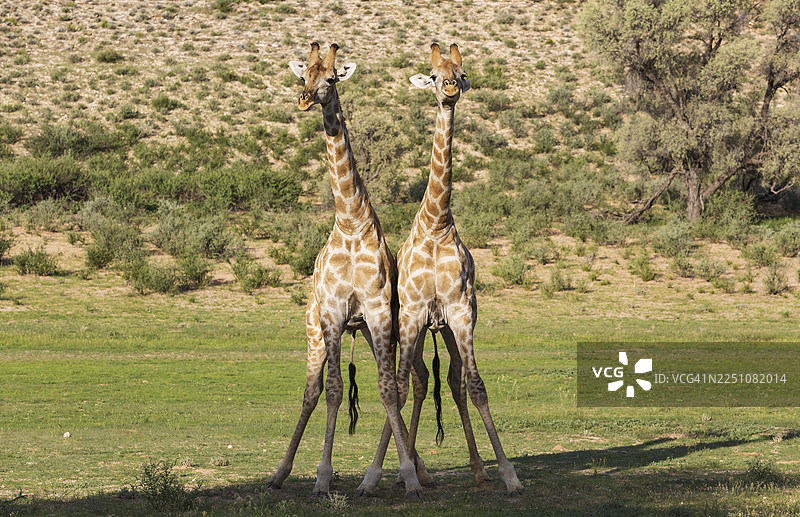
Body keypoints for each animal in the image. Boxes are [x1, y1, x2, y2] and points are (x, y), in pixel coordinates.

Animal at [265, 42, 423, 499]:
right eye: (304, 74)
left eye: (331, 78)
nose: (304, 99)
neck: (351, 223)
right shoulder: (334, 314)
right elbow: (334, 391)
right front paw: (322, 476)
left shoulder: (378, 312)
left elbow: (388, 390)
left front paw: (408, 475)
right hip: (314, 329)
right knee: (311, 391)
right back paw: (280, 472)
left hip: (375, 330)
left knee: (405, 385)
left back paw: (417, 468)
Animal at [357, 43, 525, 497]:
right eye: (433, 75)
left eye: (462, 73)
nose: (449, 88)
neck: (435, 224)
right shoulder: (412, 314)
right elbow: (398, 387)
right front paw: (376, 474)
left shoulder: (462, 312)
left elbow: (477, 387)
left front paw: (508, 474)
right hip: (417, 329)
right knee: (417, 382)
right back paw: (410, 470)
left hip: (446, 327)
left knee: (453, 381)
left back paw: (476, 469)